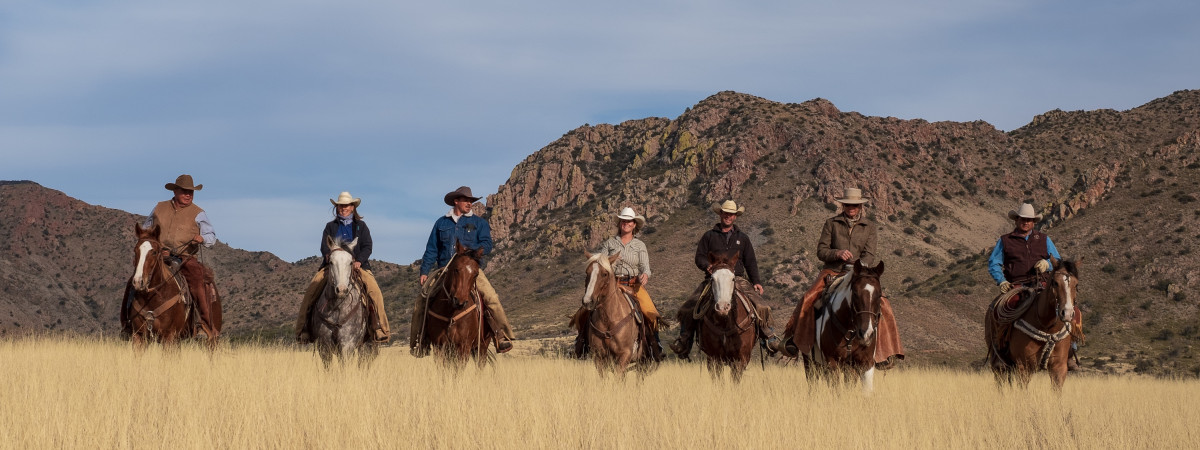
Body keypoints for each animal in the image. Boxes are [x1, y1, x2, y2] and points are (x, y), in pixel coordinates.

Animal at [125, 224, 224, 352]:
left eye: (154, 252)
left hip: (212, 338)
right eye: (135, 250)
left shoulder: (169, 336)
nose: (138, 282)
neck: (154, 297)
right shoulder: (138, 335)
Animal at [312, 236, 376, 369]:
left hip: (366, 346)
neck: (337, 307)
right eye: (331, 262)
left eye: (351, 262)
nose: (341, 290)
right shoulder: (324, 346)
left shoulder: (347, 345)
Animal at [696, 252, 758, 381]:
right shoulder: (714, 358)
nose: (722, 307)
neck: (725, 322)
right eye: (712, 278)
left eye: (733, 278)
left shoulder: (741, 359)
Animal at [801, 260, 888, 393]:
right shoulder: (832, 363)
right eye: (855, 293)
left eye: (879, 295)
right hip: (809, 362)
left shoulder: (866, 363)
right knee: (812, 384)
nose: (866, 333)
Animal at [988, 259, 1084, 393]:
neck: (1047, 327)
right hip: (1000, 365)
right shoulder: (1024, 367)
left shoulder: (1059, 367)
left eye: (1076, 285)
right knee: (1000, 381)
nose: (1067, 313)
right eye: (1055, 283)